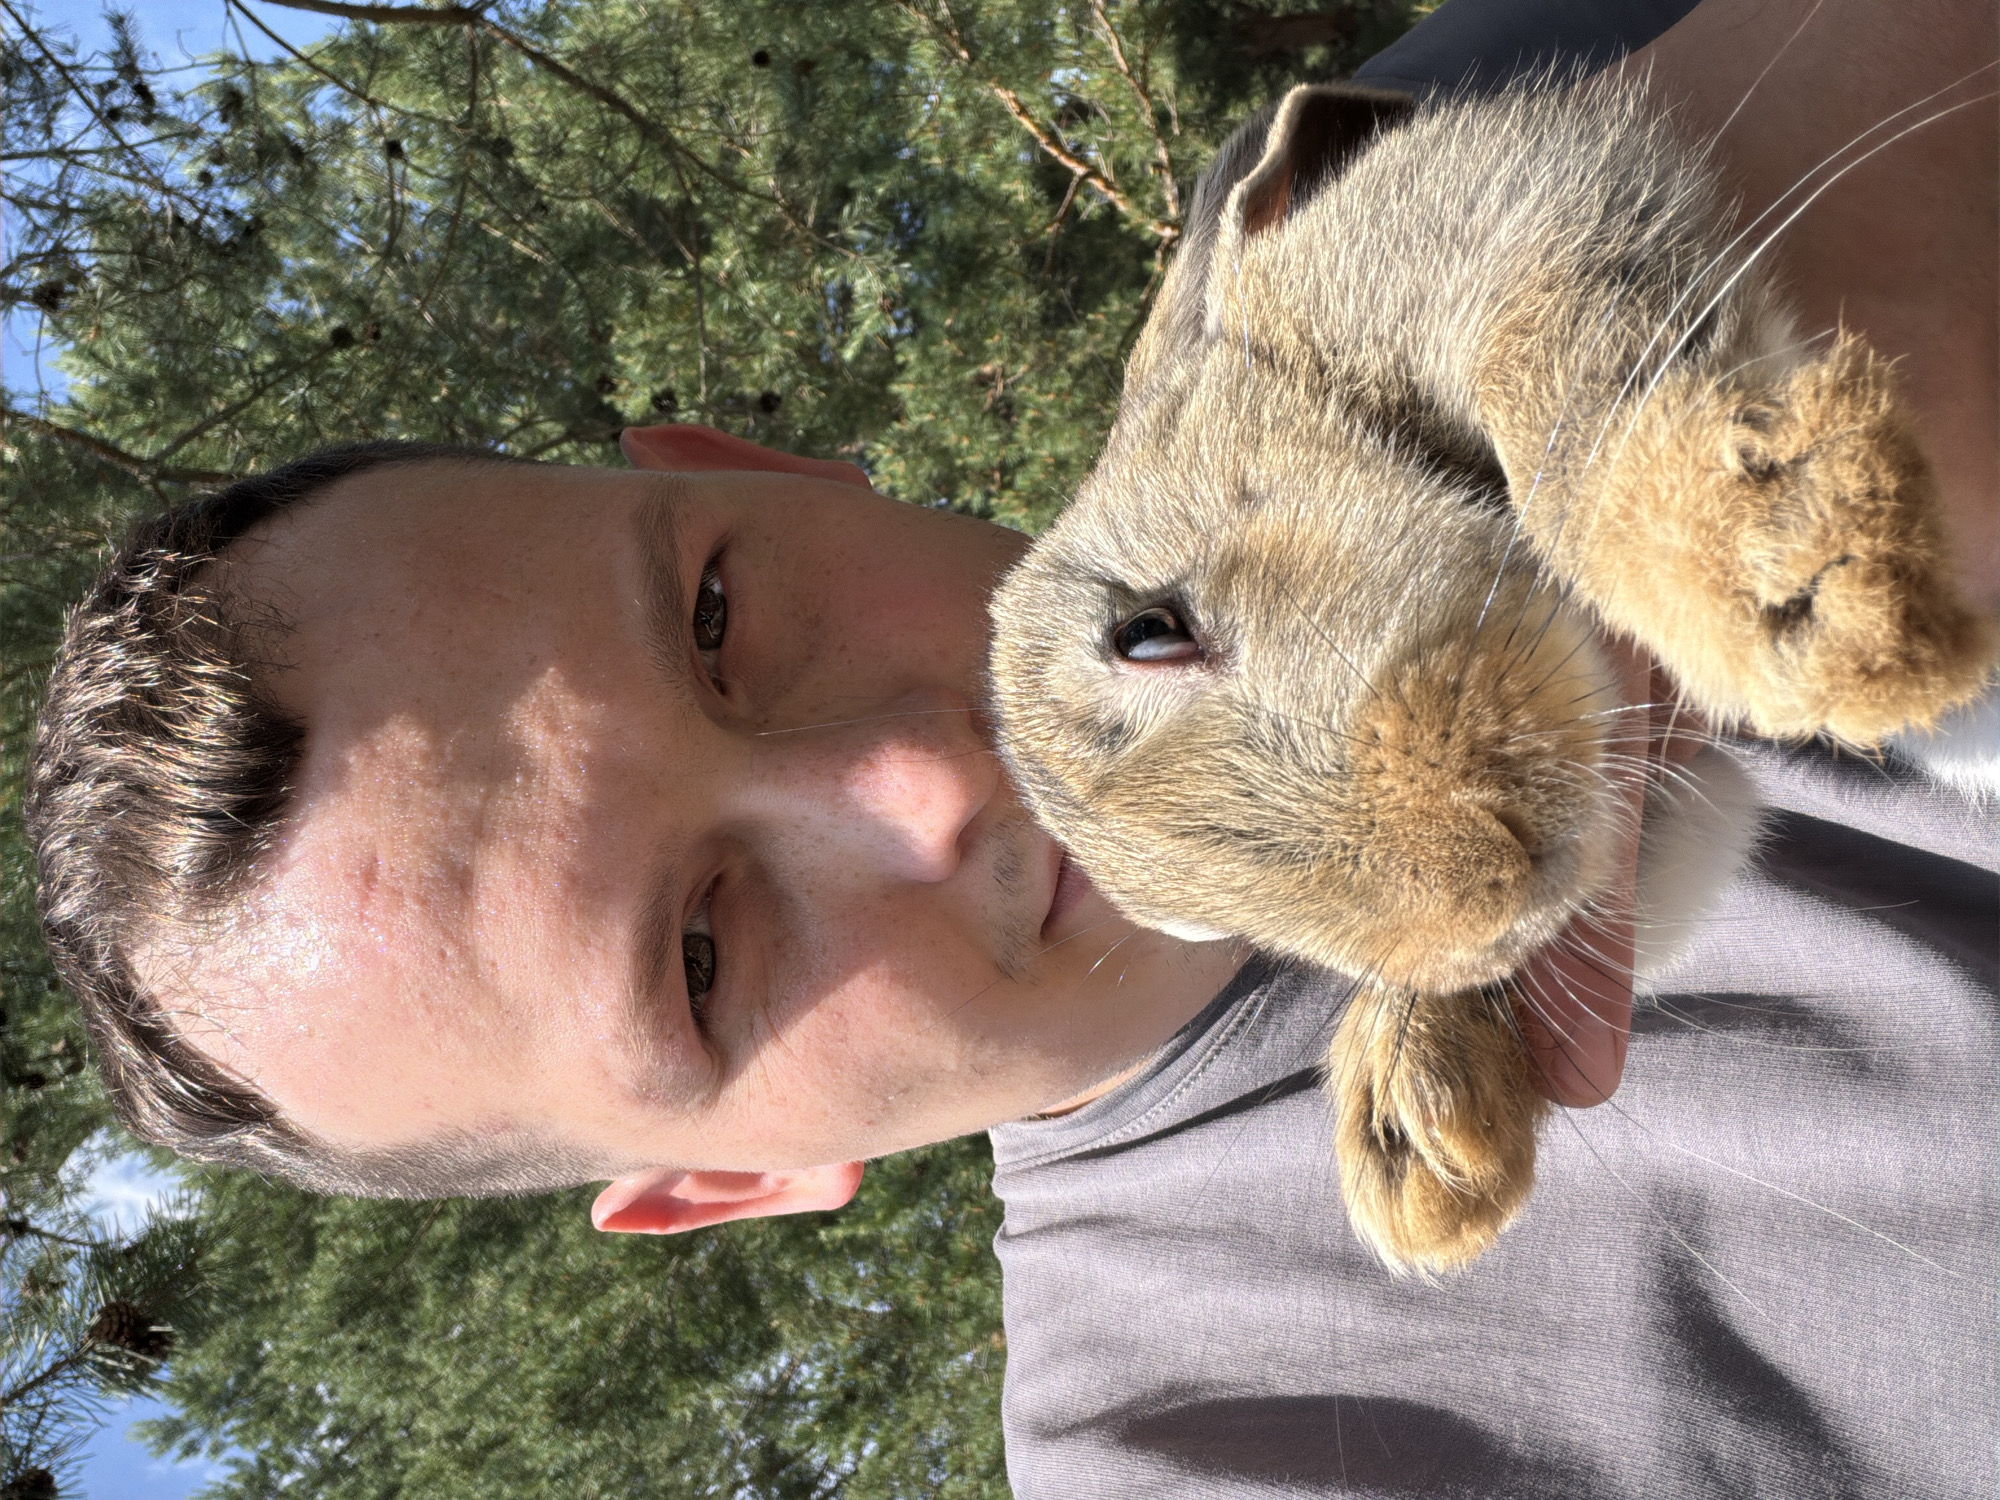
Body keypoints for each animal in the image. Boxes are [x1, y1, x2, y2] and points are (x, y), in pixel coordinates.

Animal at [986, 74, 1995, 1276]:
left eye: (1146, 633)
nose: (1484, 897)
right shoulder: (1678, 790)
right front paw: (1420, 1142)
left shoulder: (1514, 221)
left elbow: (1547, 391)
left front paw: (1809, 582)